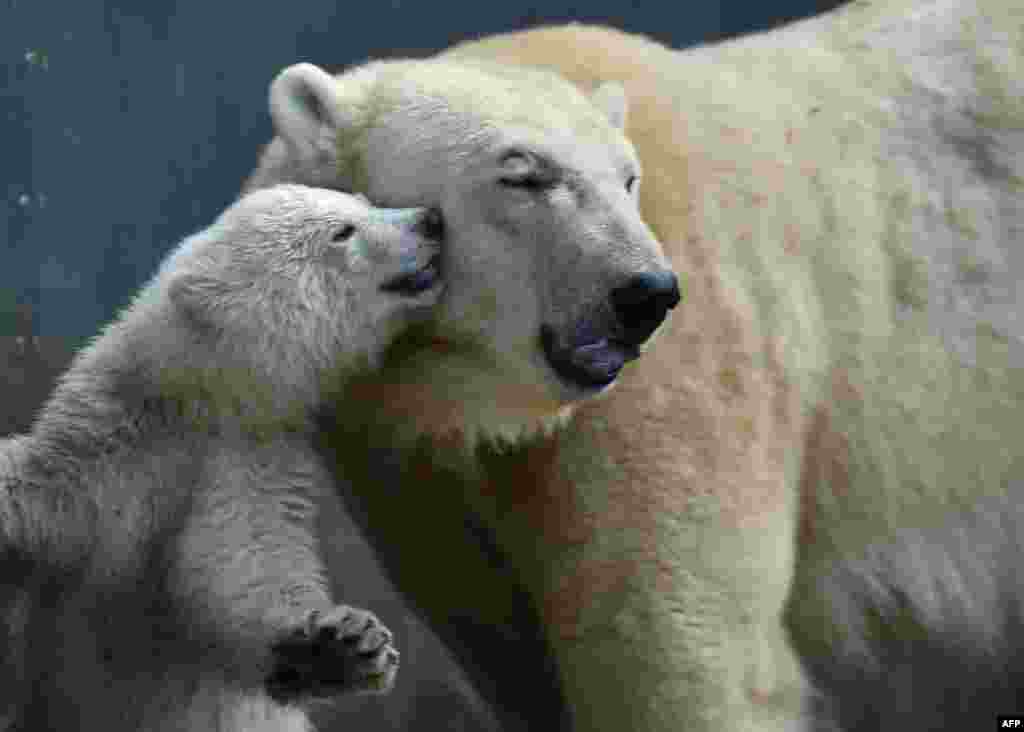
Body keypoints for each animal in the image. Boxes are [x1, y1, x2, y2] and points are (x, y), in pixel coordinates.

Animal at [245, 2, 1024, 728]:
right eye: (521, 175)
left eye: (628, 179)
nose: (645, 294)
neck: (472, 394)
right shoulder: (407, 465)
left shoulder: (686, 377)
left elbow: (675, 656)